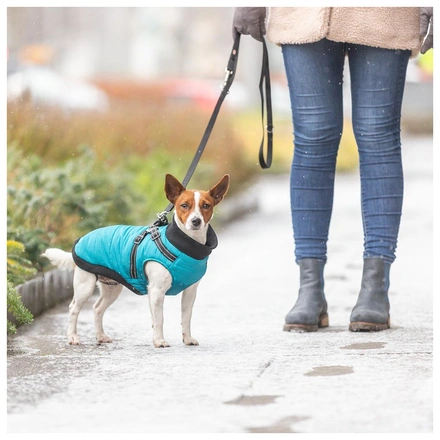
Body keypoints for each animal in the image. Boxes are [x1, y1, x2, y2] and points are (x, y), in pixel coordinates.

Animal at [42, 174, 230, 348]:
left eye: (206, 206)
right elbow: (159, 319)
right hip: (85, 285)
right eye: (184, 205)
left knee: (97, 308)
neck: (185, 244)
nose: (196, 221)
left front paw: (187, 338)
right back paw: (73, 337)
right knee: (74, 308)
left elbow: (186, 316)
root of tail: (81, 239)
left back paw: (101, 336)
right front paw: (159, 341)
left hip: (112, 288)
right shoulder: (156, 291)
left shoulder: (190, 292)